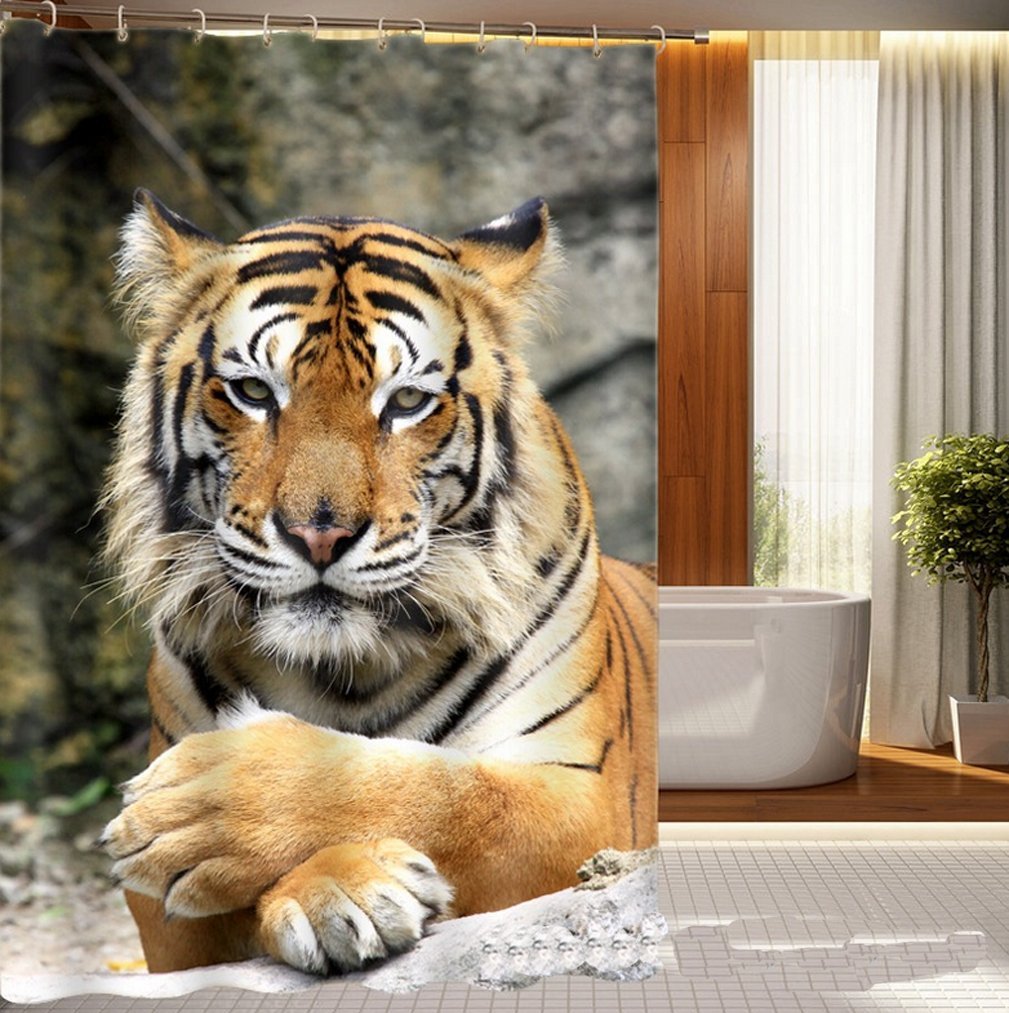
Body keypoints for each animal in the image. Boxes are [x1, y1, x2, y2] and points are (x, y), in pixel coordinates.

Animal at [98, 190, 657, 975]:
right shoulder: (171, 932)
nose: (319, 534)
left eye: (407, 402)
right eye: (252, 392)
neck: (345, 672)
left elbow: (452, 793)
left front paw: (210, 807)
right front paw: (342, 889)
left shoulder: (589, 797)